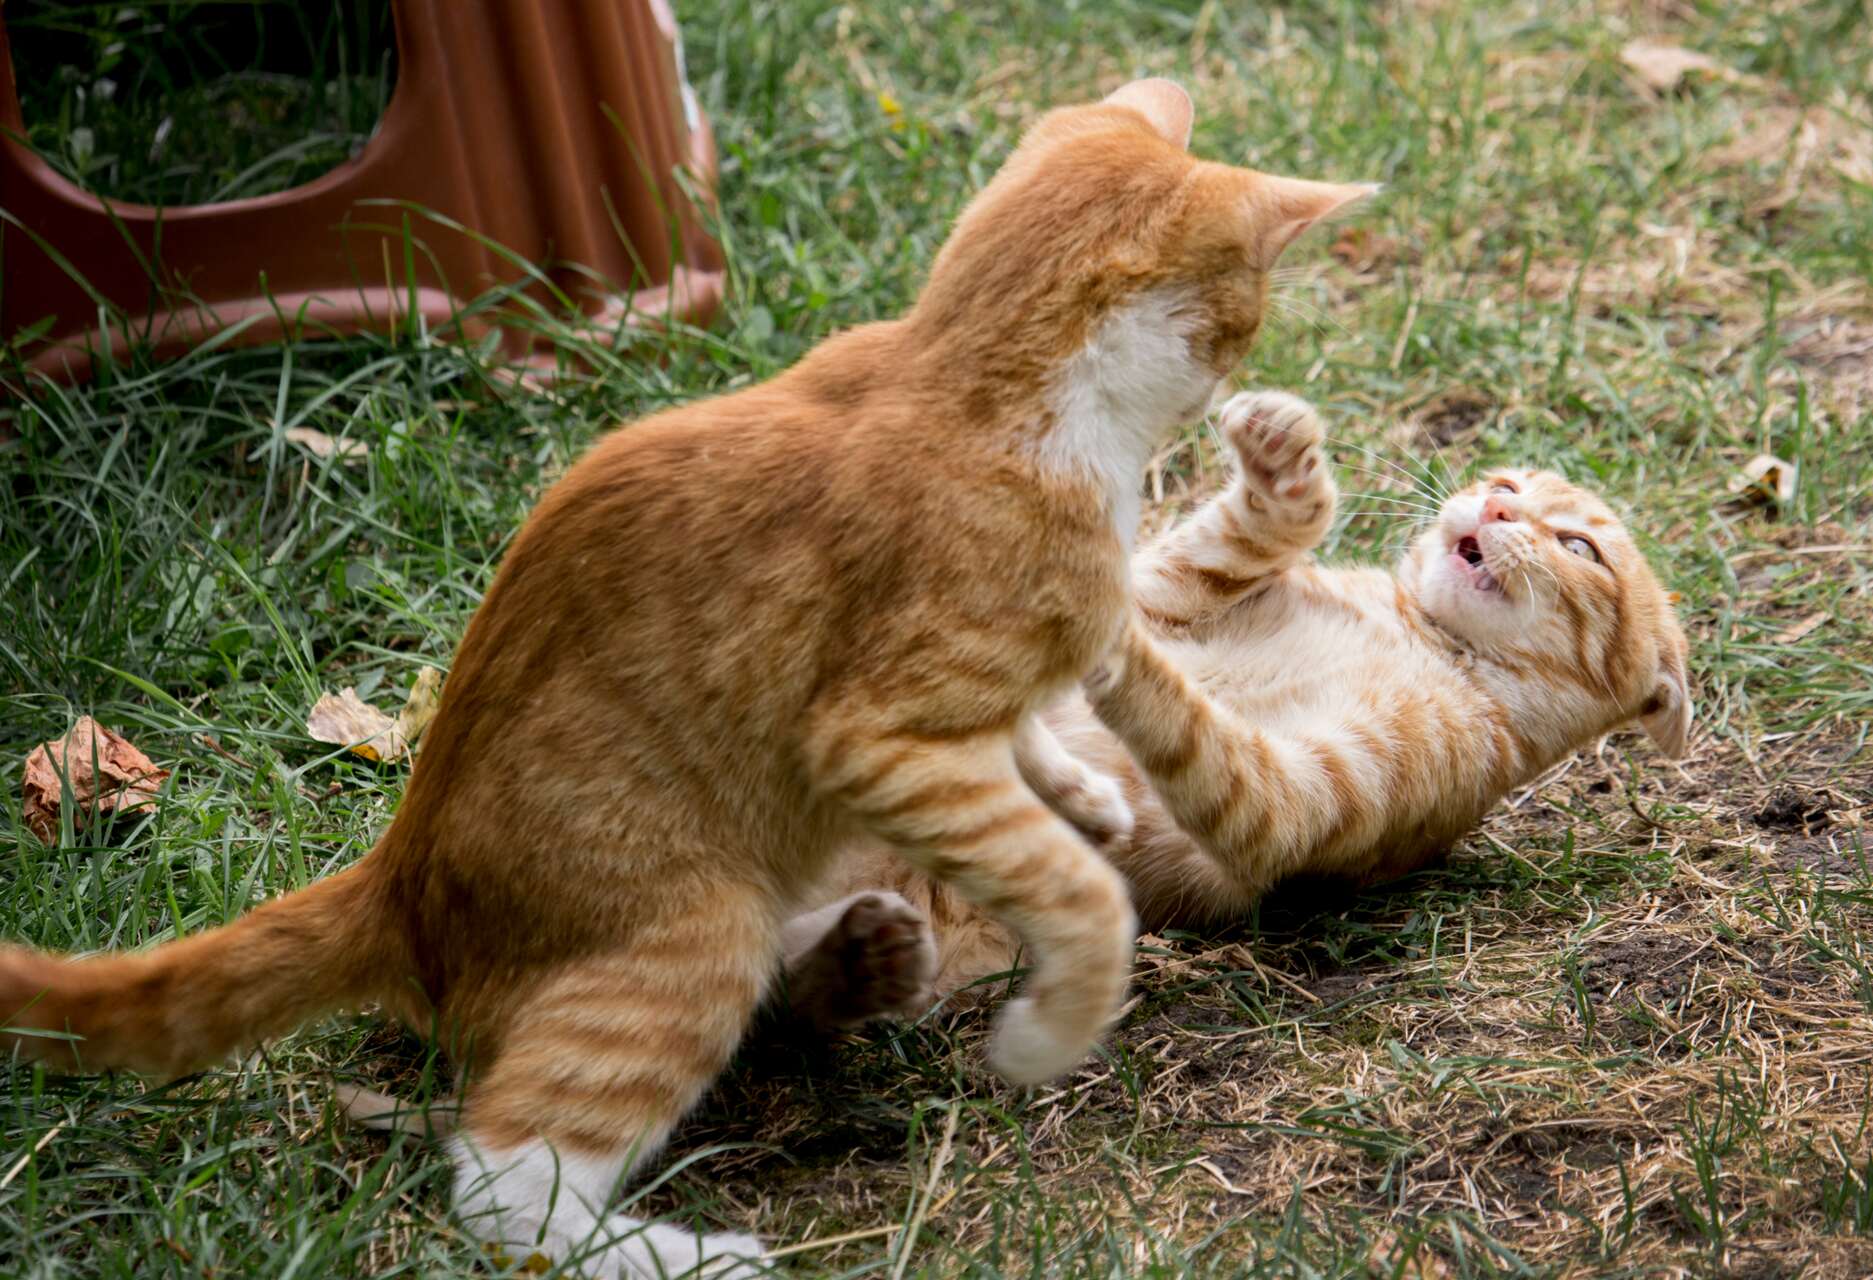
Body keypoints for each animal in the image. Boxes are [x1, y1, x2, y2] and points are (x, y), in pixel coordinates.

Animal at [3, 82, 1378, 1280]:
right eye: (1245, 316)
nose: (1238, 368)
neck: (973, 383)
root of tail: (399, 877)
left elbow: (1035, 737)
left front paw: (1073, 788)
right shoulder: (879, 738)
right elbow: (1081, 892)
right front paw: (1051, 1023)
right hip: (686, 931)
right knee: (501, 1176)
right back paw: (675, 1251)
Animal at [782, 389, 1693, 1012]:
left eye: (1577, 546)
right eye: (1502, 480)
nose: (1496, 505)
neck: (1416, 631)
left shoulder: (1295, 802)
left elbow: (1196, 728)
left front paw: (1104, 639)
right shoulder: (1170, 586)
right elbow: (1235, 540)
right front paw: (1280, 462)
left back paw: (867, 956)